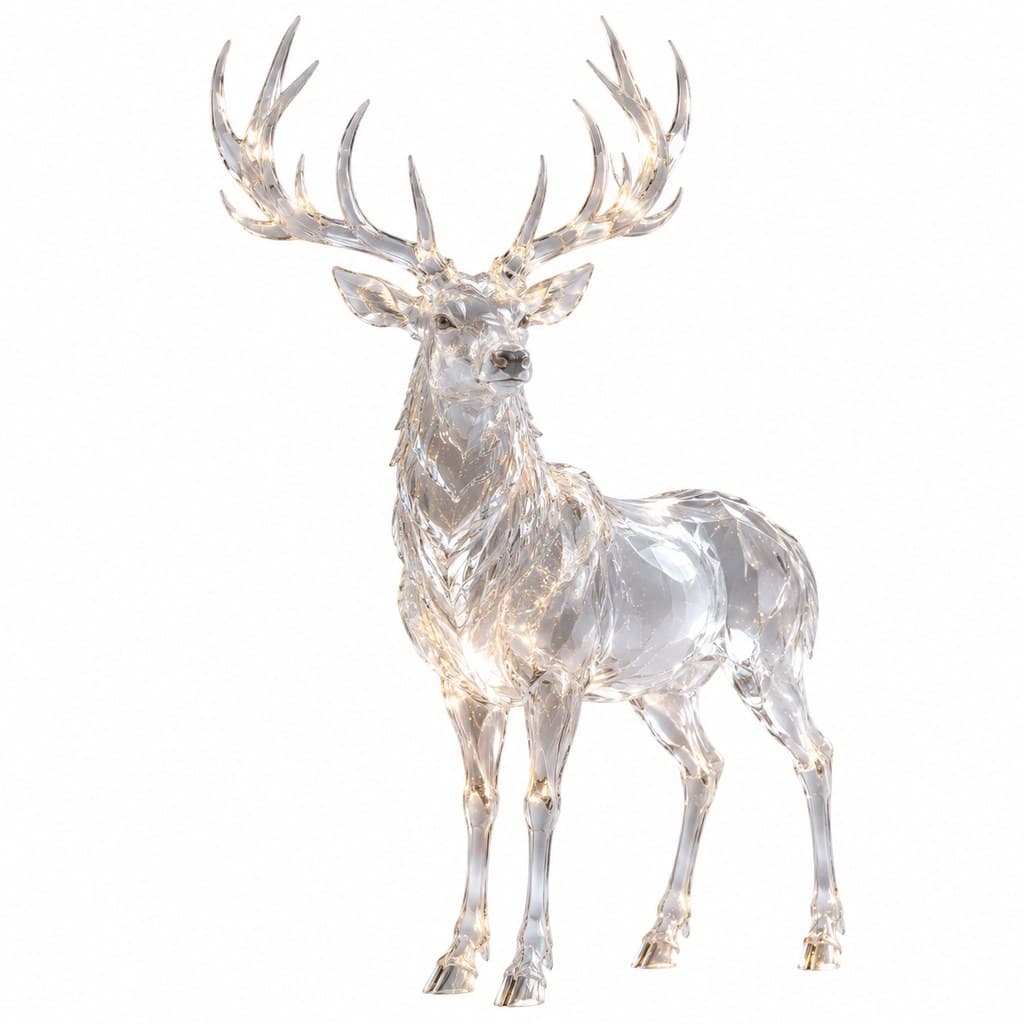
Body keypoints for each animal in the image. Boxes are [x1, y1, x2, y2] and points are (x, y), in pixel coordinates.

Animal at [211, 16, 844, 1007]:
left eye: (520, 314)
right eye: (440, 316)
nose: (511, 357)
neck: (472, 583)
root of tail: (789, 540)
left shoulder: (559, 670)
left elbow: (542, 802)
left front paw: (528, 968)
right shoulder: (460, 680)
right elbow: (476, 800)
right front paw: (452, 960)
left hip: (776, 650)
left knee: (816, 753)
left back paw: (822, 939)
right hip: (664, 683)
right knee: (705, 764)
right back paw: (660, 939)